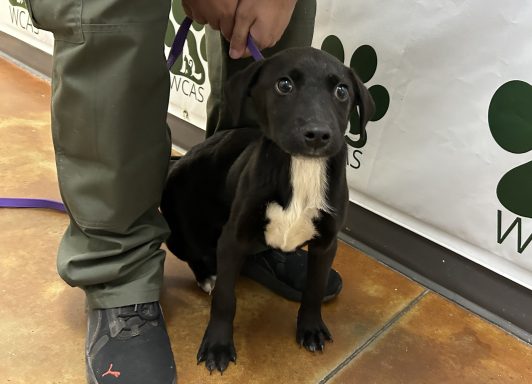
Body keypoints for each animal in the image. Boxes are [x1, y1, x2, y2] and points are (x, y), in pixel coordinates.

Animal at [162, 46, 374, 374]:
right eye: (284, 85)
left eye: (342, 91)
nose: (317, 134)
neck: (302, 167)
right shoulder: (233, 238)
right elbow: (225, 299)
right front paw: (218, 346)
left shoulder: (326, 243)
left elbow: (314, 288)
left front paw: (310, 329)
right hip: (181, 232)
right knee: (195, 254)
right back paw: (207, 275)